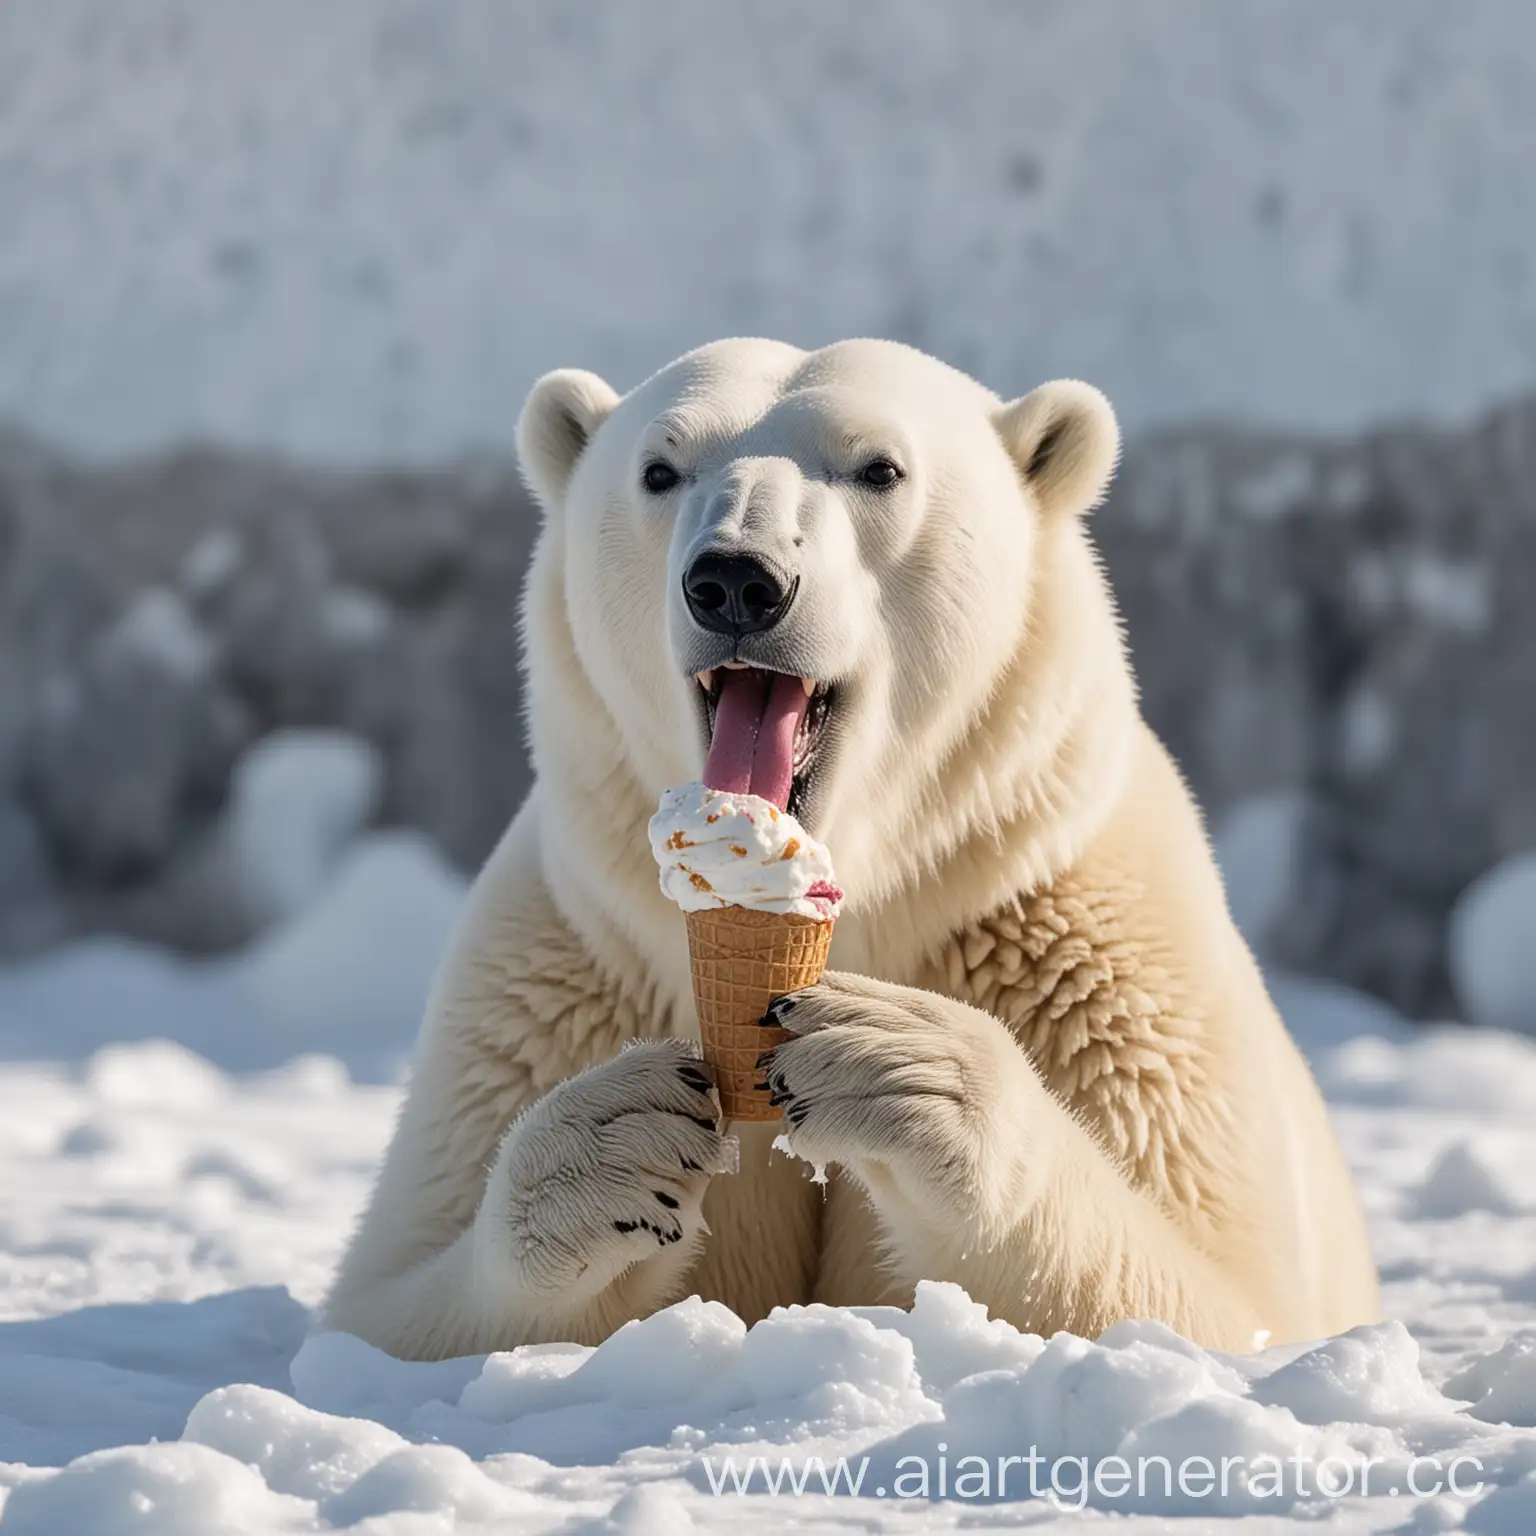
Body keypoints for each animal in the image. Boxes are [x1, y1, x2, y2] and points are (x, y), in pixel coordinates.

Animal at [324, 336, 1382, 1357]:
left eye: (879, 469)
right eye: (659, 469)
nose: (737, 580)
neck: (865, 886)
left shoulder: (1092, 948)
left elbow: (1224, 1302)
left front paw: (896, 1064)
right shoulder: (569, 960)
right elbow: (382, 1314)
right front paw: (614, 1138)